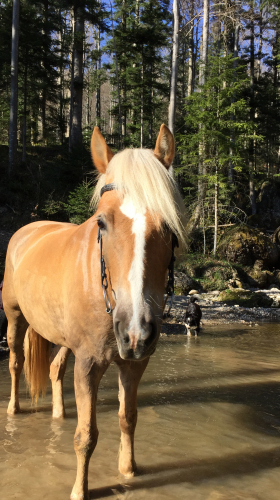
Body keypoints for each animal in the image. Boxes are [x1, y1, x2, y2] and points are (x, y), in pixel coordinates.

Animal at [3, 123, 186, 498]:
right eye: (101, 223)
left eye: (169, 226)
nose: (135, 330)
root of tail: (27, 229)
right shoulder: (88, 363)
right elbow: (86, 436)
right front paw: (80, 490)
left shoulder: (134, 362)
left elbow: (127, 417)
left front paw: (128, 471)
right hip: (14, 317)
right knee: (15, 361)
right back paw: (14, 408)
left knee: (55, 368)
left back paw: (58, 413)